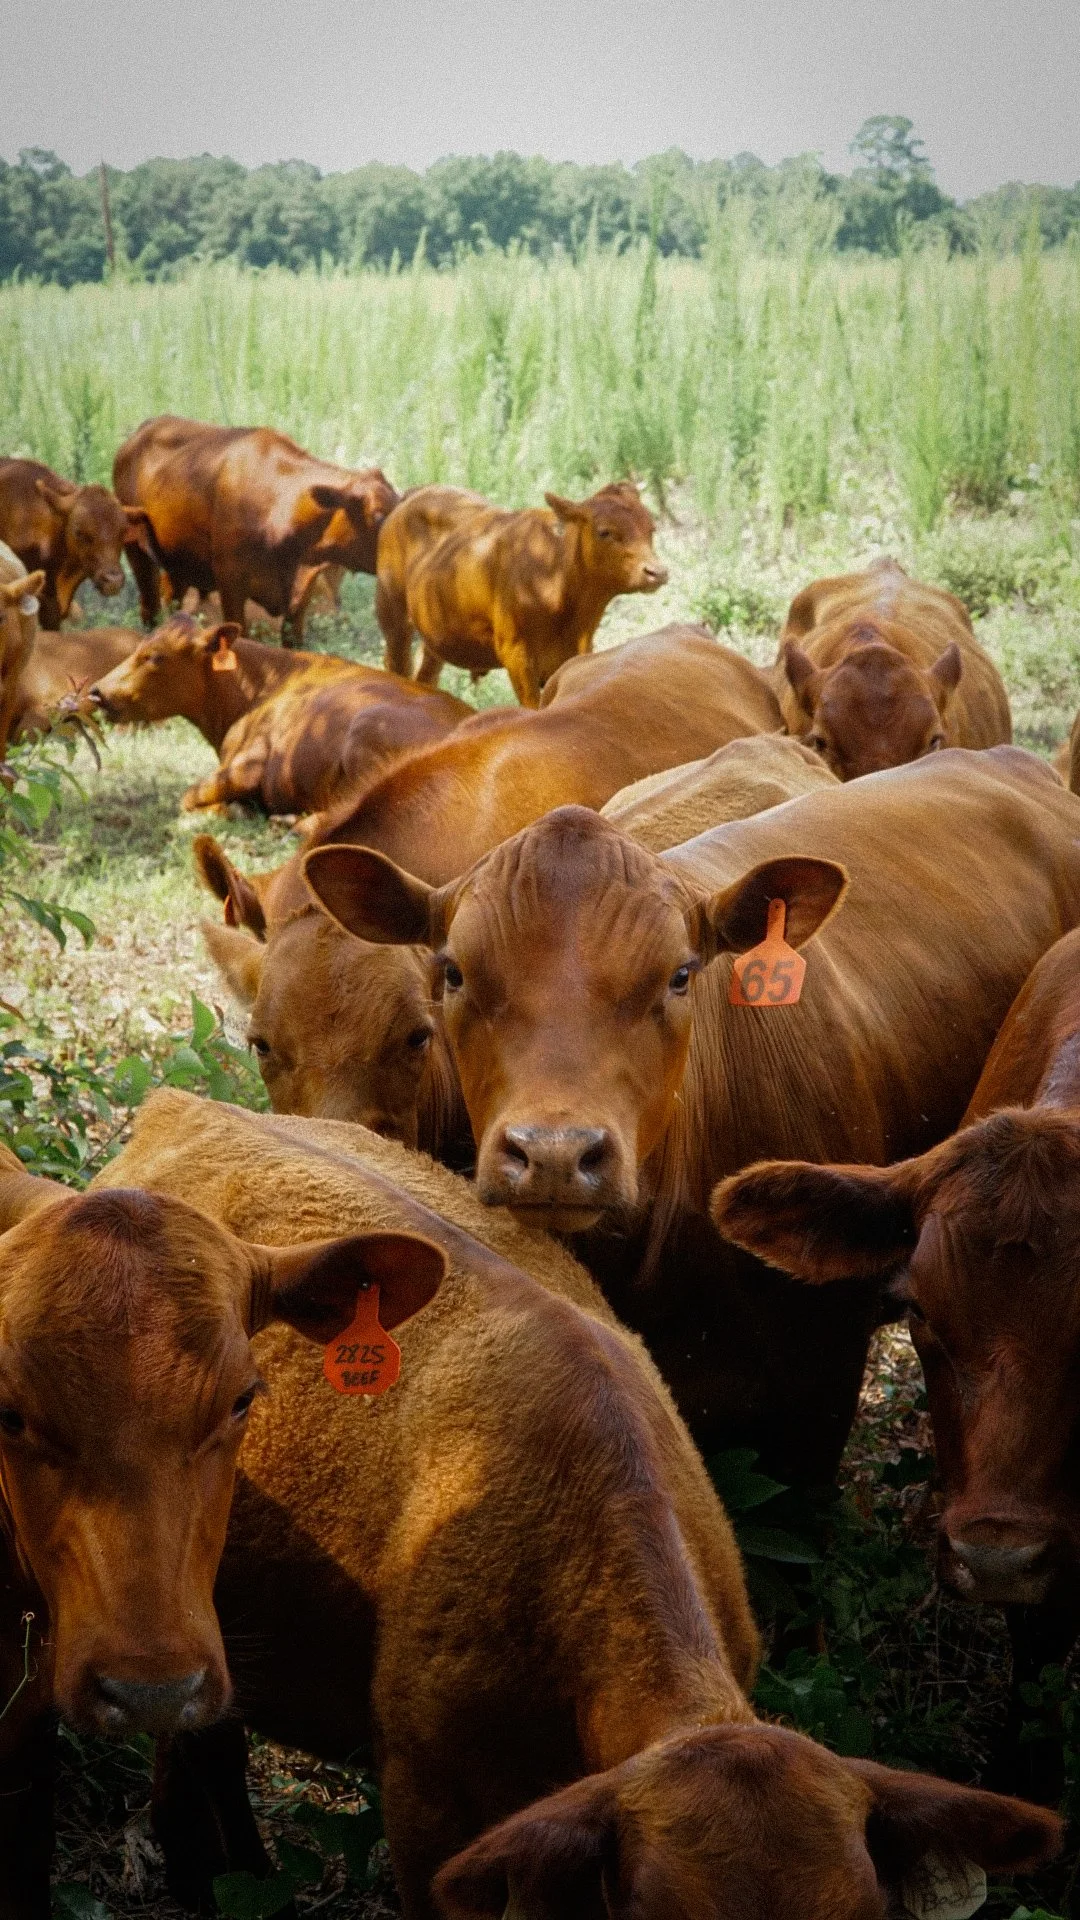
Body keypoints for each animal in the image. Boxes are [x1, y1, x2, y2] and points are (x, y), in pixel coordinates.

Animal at [112, 415, 398, 643]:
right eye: (378, 516)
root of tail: (146, 427)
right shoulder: (231, 587)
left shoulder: (301, 597)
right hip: (138, 554)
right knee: (150, 611)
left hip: (179, 565)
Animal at [376, 481, 668, 704]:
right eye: (604, 531)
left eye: (651, 528)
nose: (657, 572)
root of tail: (418, 492)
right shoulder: (517, 656)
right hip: (394, 619)